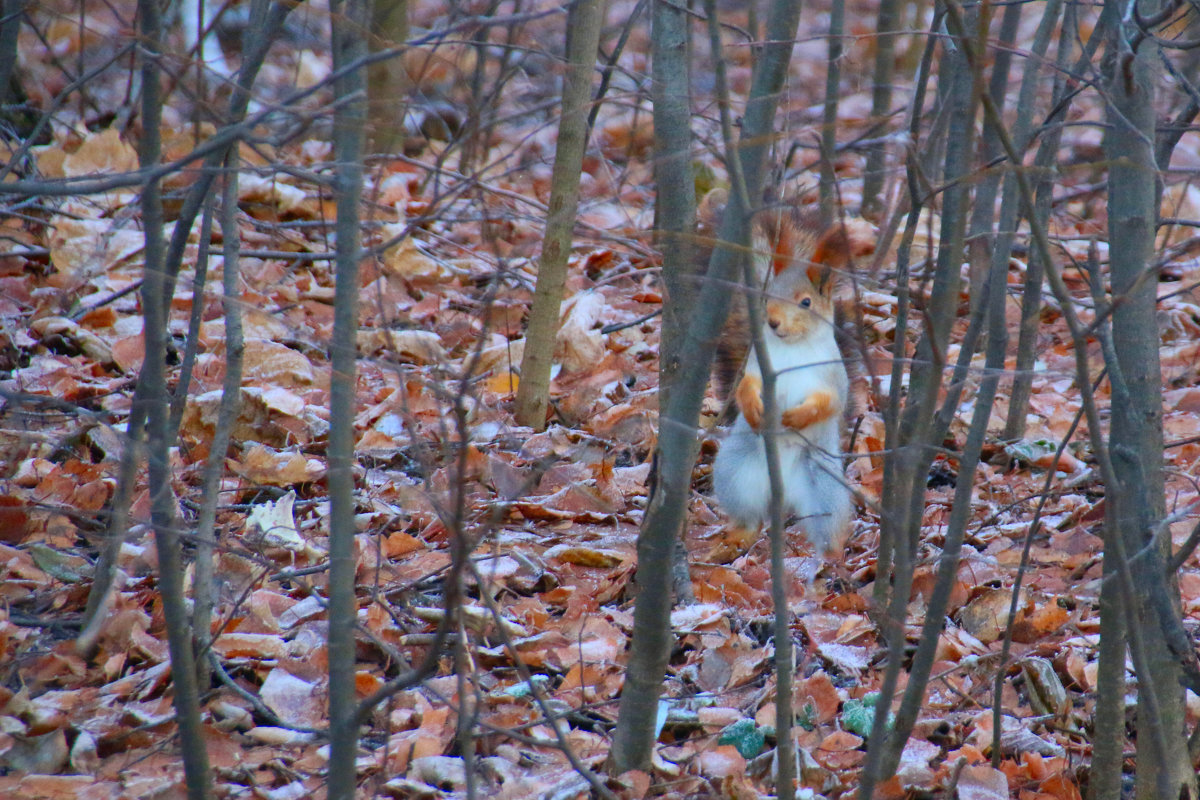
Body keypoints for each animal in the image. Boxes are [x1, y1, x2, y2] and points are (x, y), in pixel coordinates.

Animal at [700, 190, 864, 561]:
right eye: (765, 296)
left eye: (806, 302)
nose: (773, 322)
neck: (793, 348)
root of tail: (785, 494)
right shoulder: (757, 366)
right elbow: (744, 386)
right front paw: (754, 407)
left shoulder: (832, 378)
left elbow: (829, 402)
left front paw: (798, 416)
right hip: (735, 474)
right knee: (750, 517)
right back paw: (738, 537)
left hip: (825, 490)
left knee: (826, 529)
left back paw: (831, 557)